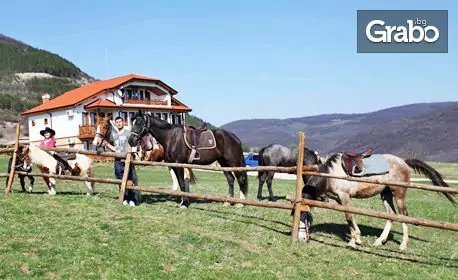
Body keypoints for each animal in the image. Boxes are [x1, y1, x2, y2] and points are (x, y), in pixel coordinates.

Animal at [300, 153, 454, 252]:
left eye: (304, 219)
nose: (301, 238)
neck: (330, 174)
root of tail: (403, 161)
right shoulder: (340, 199)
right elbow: (350, 218)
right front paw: (358, 238)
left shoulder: (344, 197)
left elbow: (349, 217)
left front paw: (353, 242)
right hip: (386, 194)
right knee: (390, 215)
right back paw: (380, 241)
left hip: (399, 194)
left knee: (403, 215)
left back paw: (403, 245)